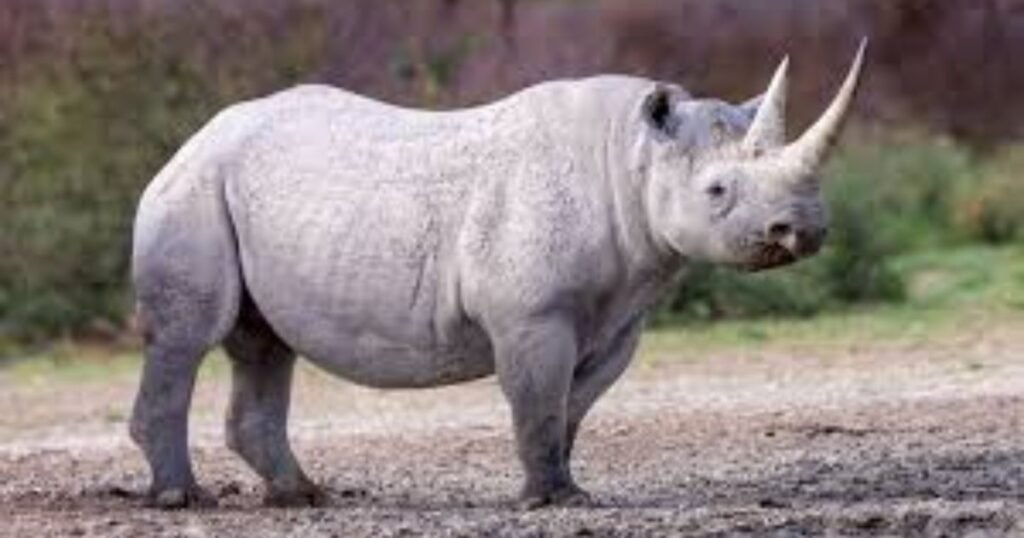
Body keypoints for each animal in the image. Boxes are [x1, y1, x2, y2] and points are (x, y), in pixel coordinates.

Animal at [130, 41, 866, 509]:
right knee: (190, 336)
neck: (631, 159)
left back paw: (302, 497)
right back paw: (182, 498)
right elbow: (538, 400)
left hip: (241, 194)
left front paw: (567, 489)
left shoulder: (619, 316)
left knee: (263, 342)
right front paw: (552, 502)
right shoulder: (532, 314)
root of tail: (194, 137)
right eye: (716, 191)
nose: (802, 230)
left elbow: (572, 405)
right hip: (192, 189)